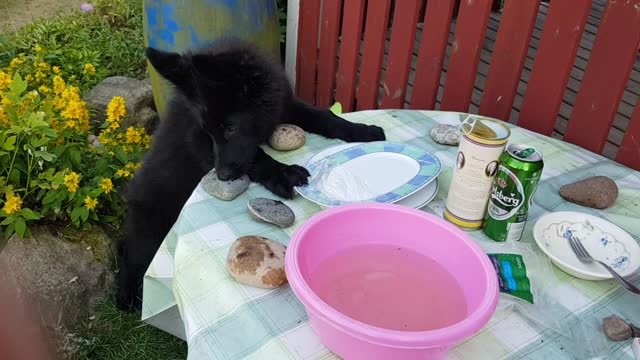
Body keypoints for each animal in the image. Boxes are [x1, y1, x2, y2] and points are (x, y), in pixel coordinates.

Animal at [115, 38, 384, 310]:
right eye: (209, 131)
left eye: (231, 128)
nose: (222, 176)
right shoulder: (199, 141)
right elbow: (256, 155)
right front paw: (282, 173)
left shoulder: (285, 106)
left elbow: (323, 116)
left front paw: (360, 130)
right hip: (150, 231)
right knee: (132, 257)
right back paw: (127, 297)